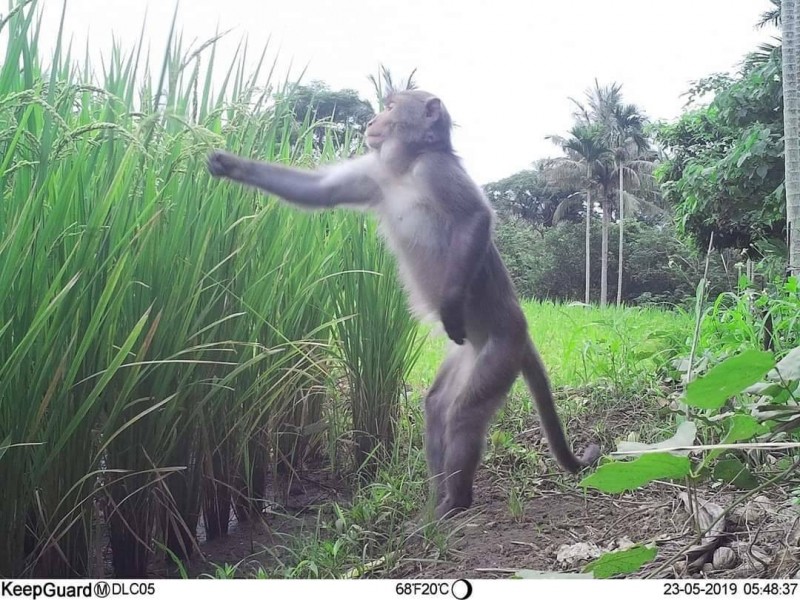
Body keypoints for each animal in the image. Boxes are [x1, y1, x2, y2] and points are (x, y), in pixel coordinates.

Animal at [208, 90, 600, 520]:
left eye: (392, 107)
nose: (372, 121)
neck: (407, 166)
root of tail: (522, 331)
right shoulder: (376, 173)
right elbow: (322, 191)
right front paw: (230, 164)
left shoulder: (436, 171)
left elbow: (476, 217)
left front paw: (449, 304)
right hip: (466, 354)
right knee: (438, 406)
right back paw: (436, 499)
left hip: (500, 353)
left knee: (463, 414)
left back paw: (455, 502)